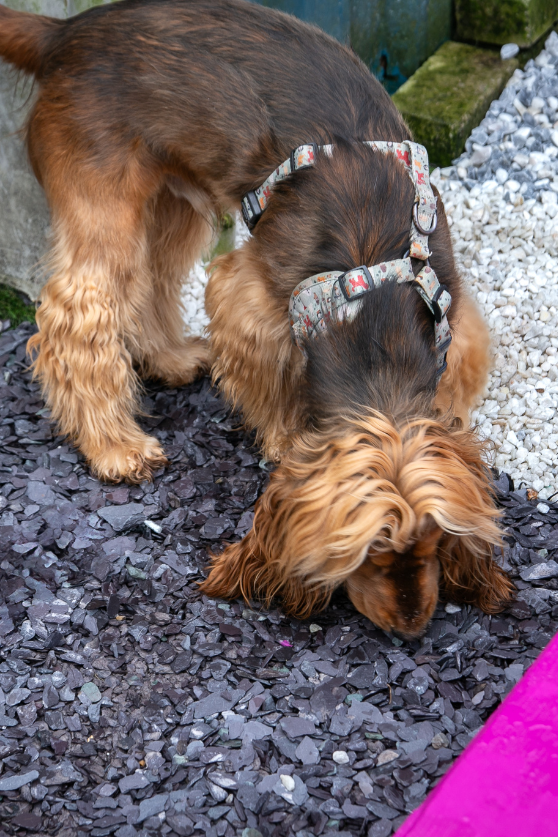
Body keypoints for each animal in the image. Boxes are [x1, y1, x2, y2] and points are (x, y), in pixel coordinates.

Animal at [1, 0, 516, 632]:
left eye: (434, 544)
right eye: (369, 554)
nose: (412, 625)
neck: (372, 304)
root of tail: (66, 31)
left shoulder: (457, 320)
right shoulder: (249, 296)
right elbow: (269, 378)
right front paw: (284, 436)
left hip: (173, 198)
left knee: (151, 277)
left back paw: (170, 357)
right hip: (104, 202)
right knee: (78, 313)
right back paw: (114, 446)